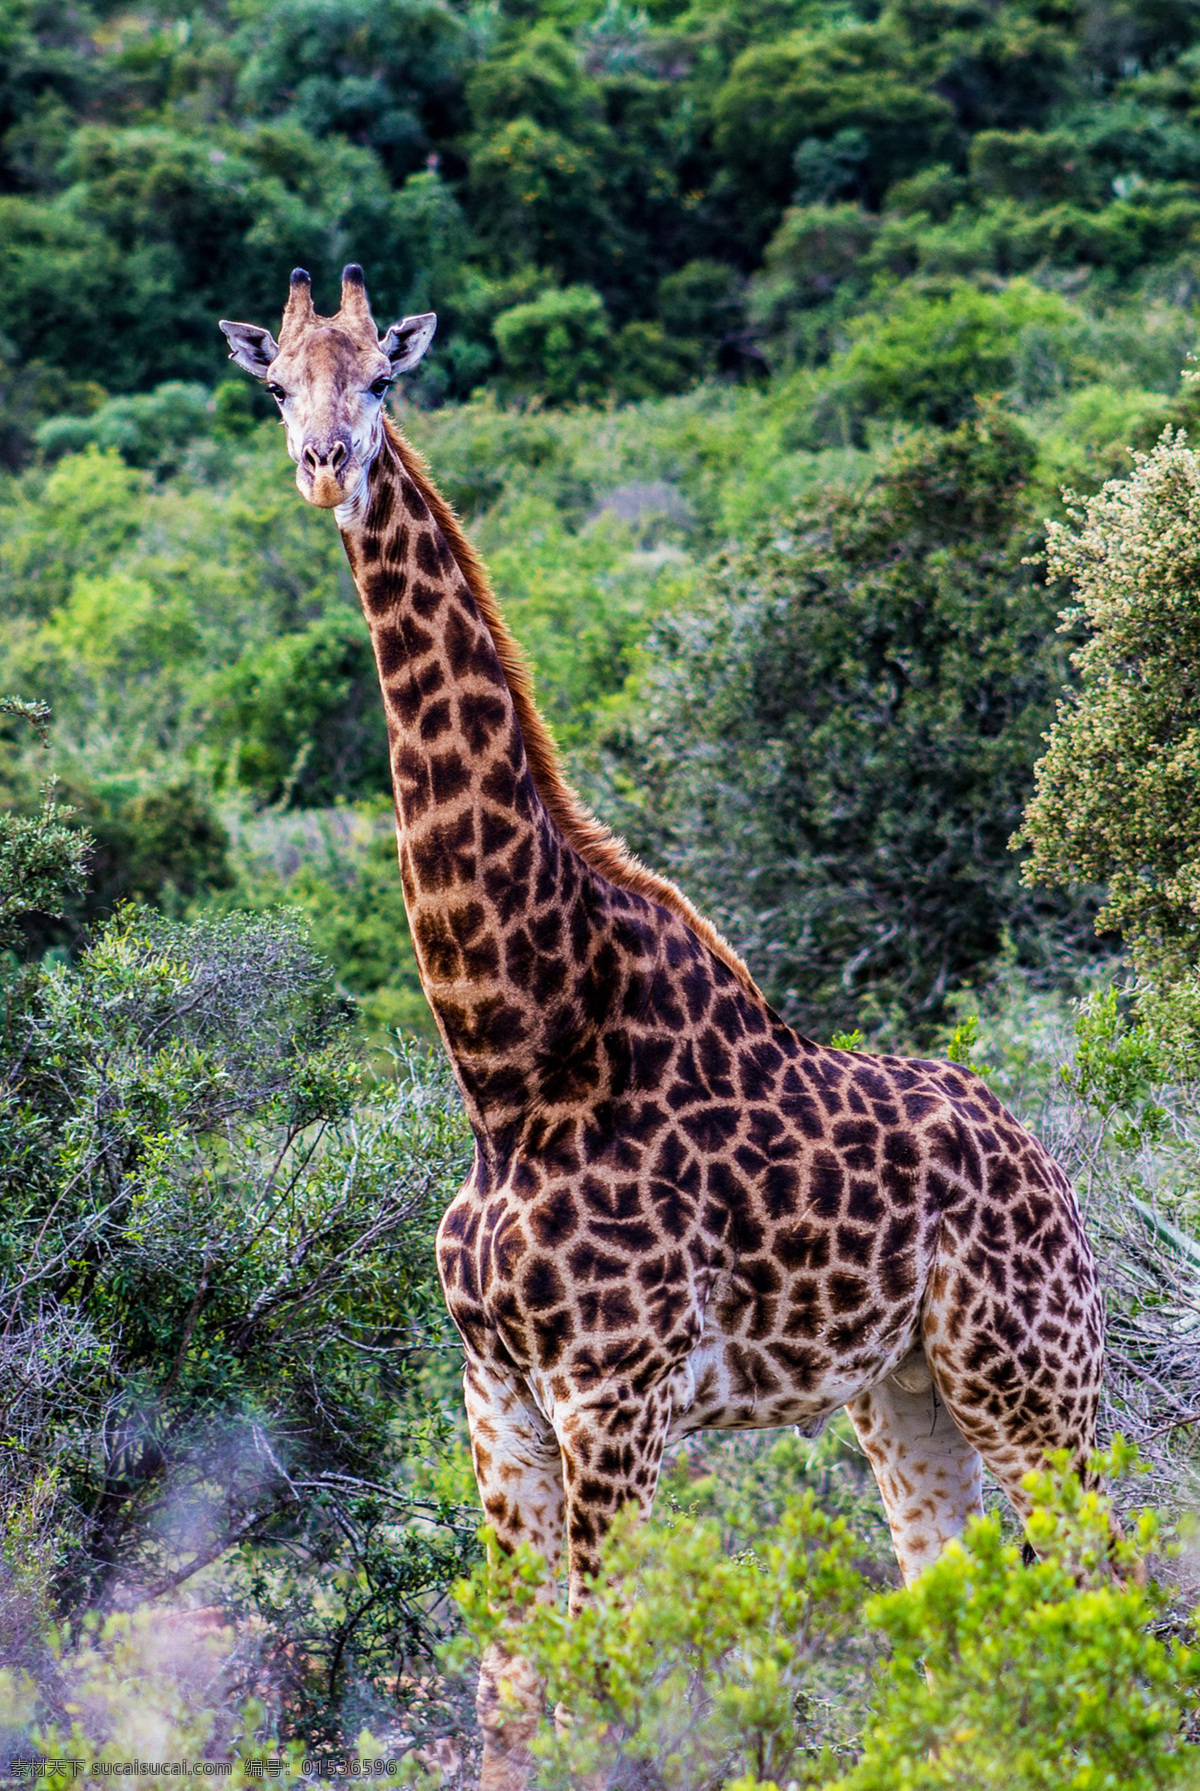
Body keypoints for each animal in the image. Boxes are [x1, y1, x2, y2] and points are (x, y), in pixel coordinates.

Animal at [220, 267, 1106, 1790]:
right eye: (275, 383)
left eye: (381, 378)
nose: (325, 466)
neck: (512, 1061)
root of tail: (1048, 1171)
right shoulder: (495, 1391)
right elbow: (513, 1693)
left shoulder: (616, 1395)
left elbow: (607, 1683)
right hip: (906, 1393)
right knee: (957, 1613)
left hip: (1035, 1375)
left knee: (1118, 1582)